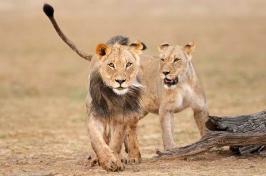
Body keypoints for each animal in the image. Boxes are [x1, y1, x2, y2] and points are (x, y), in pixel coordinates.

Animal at [43, 4, 147, 172]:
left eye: (128, 64)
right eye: (111, 65)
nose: (120, 81)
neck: (112, 97)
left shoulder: (121, 119)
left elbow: (116, 142)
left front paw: (115, 160)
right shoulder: (94, 115)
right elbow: (98, 141)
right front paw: (107, 161)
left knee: (131, 130)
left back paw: (131, 156)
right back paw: (94, 158)